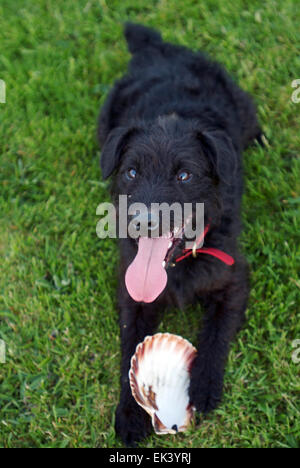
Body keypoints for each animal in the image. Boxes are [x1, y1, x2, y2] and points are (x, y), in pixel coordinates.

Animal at [98, 22, 260, 446]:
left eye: (184, 175)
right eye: (131, 172)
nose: (144, 220)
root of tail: (155, 49)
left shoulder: (234, 280)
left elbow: (215, 334)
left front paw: (203, 386)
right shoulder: (132, 296)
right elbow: (130, 348)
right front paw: (130, 414)